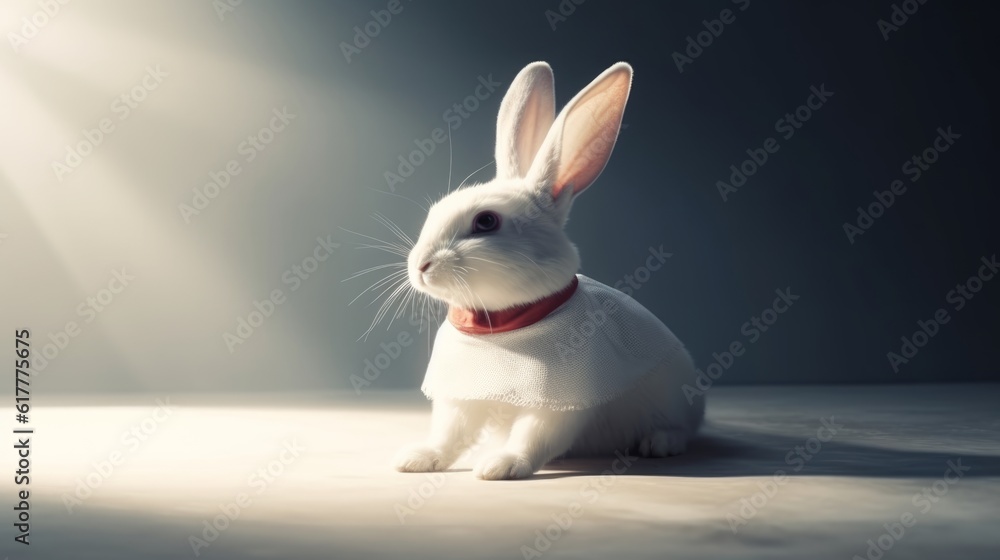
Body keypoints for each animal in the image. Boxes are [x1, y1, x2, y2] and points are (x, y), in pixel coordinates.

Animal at [393, 61, 705, 480]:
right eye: (434, 211)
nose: (420, 266)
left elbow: (535, 435)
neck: (504, 327)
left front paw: (501, 466)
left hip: (674, 400)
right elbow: (448, 433)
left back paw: (659, 443)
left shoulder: (558, 402)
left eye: (486, 222)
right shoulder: (461, 397)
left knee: (679, 429)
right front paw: (416, 459)